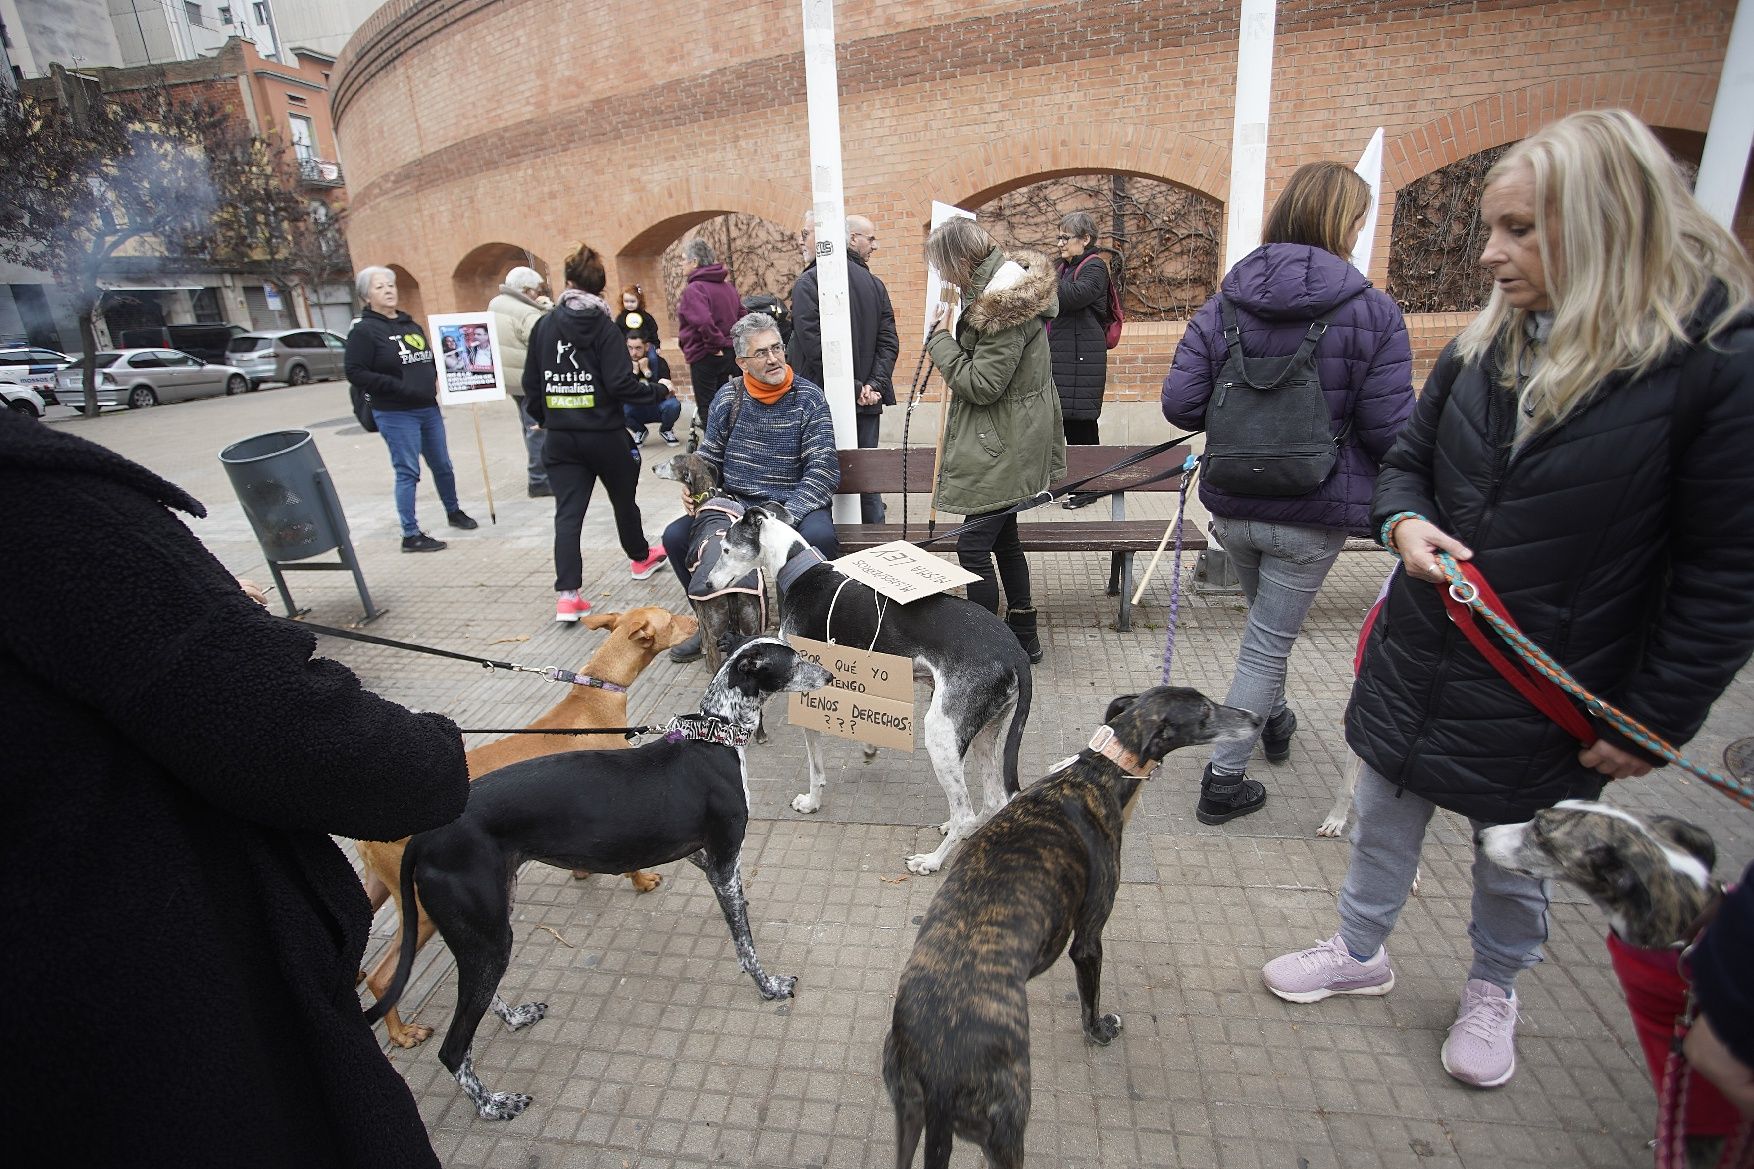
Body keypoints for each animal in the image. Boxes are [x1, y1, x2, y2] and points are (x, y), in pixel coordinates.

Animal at [352, 603, 694, 1039]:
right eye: (671, 618)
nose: (696, 620)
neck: (592, 701)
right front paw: (642, 881)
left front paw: (582, 873)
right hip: (419, 908)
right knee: (384, 976)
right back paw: (402, 1034)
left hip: (380, 887)